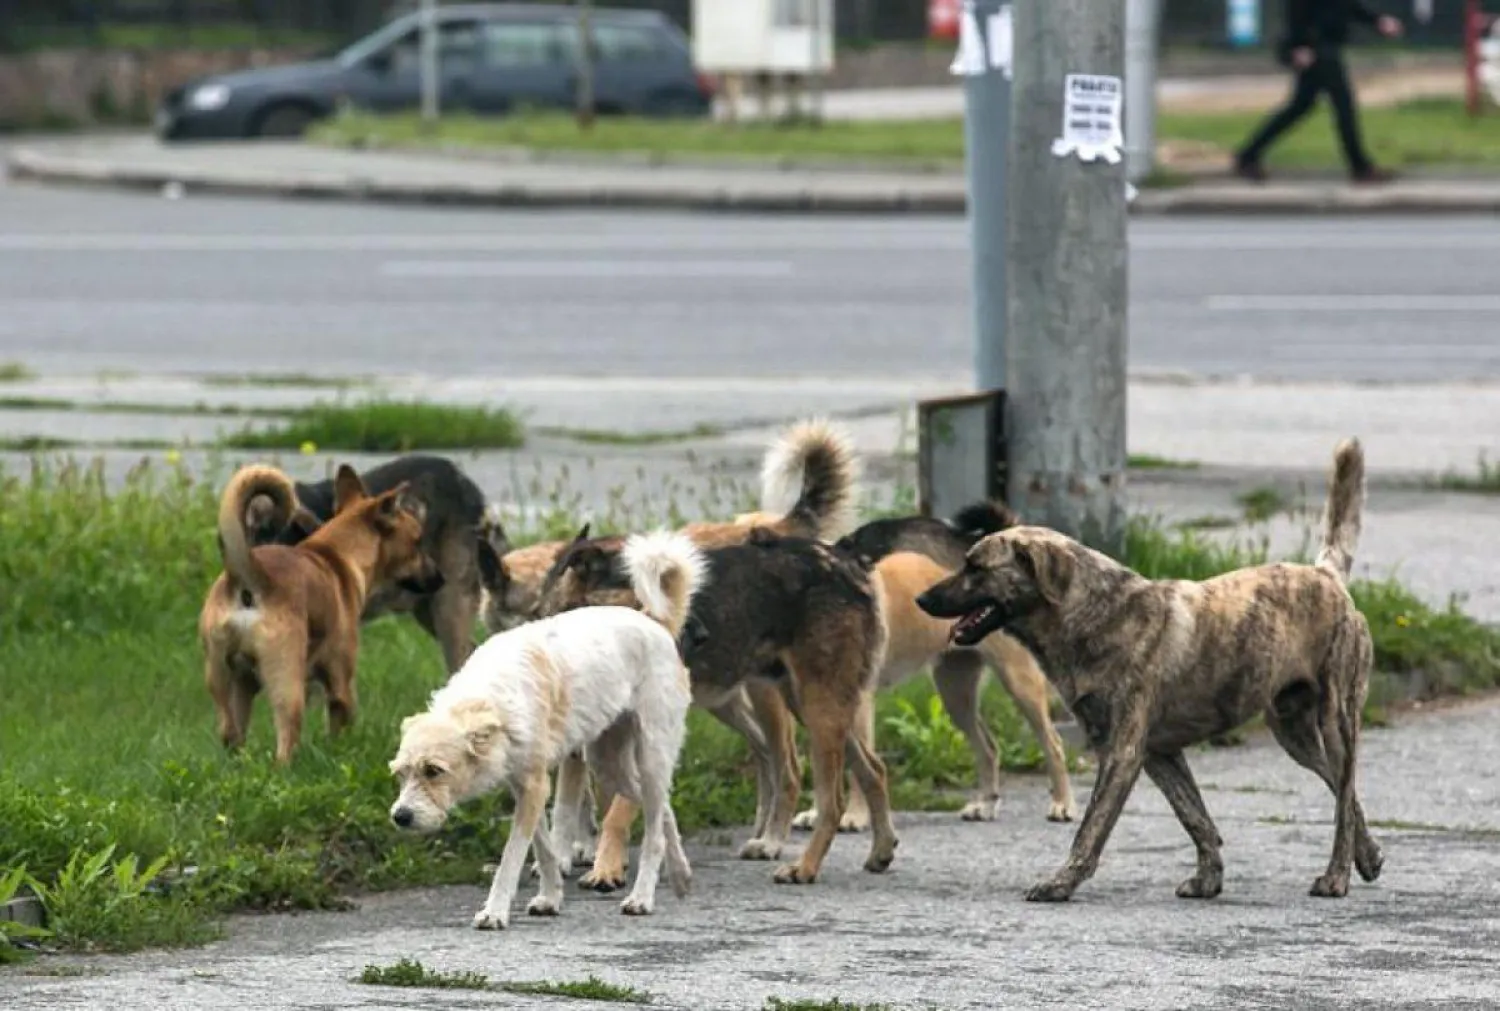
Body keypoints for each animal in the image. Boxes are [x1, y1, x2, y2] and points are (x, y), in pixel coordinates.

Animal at [198, 462, 438, 759]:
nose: (440, 578)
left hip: (224, 680)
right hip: (287, 683)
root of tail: (248, 576)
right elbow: (339, 725)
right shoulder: (341, 684)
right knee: (285, 741)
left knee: (230, 732)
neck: (338, 554)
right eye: (418, 542)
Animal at [393, 525, 708, 924]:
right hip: (608, 763)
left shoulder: (533, 787)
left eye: (434, 771)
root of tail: (655, 623)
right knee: (662, 809)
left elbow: (512, 856)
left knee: (653, 829)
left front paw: (495, 911)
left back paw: (642, 897)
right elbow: (543, 849)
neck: (490, 698)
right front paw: (549, 897)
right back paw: (680, 875)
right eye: (400, 774)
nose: (400, 817)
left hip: (649, 755)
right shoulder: (527, 786)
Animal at [537, 525, 888, 888]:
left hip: (817, 707)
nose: (701, 635)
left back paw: (803, 866)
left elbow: (615, 810)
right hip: (810, 706)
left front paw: (606, 867)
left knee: (829, 798)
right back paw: (880, 851)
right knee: (873, 769)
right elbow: (573, 806)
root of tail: (844, 558)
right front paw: (582, 861)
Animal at [918, 438, 1386, 900]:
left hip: (1336, 720)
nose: (921, 599)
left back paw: (1337, 876)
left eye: (975, 567)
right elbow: (1195, 817)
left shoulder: (1121, 753)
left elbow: (1090, 829)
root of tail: (1326, 575)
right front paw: (1209, 878)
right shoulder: (1159, 753)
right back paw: (1367, 855)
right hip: (1293, 733)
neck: (1092, 614)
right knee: (1344, 791)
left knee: (1344, 796)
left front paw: (1061, 882)